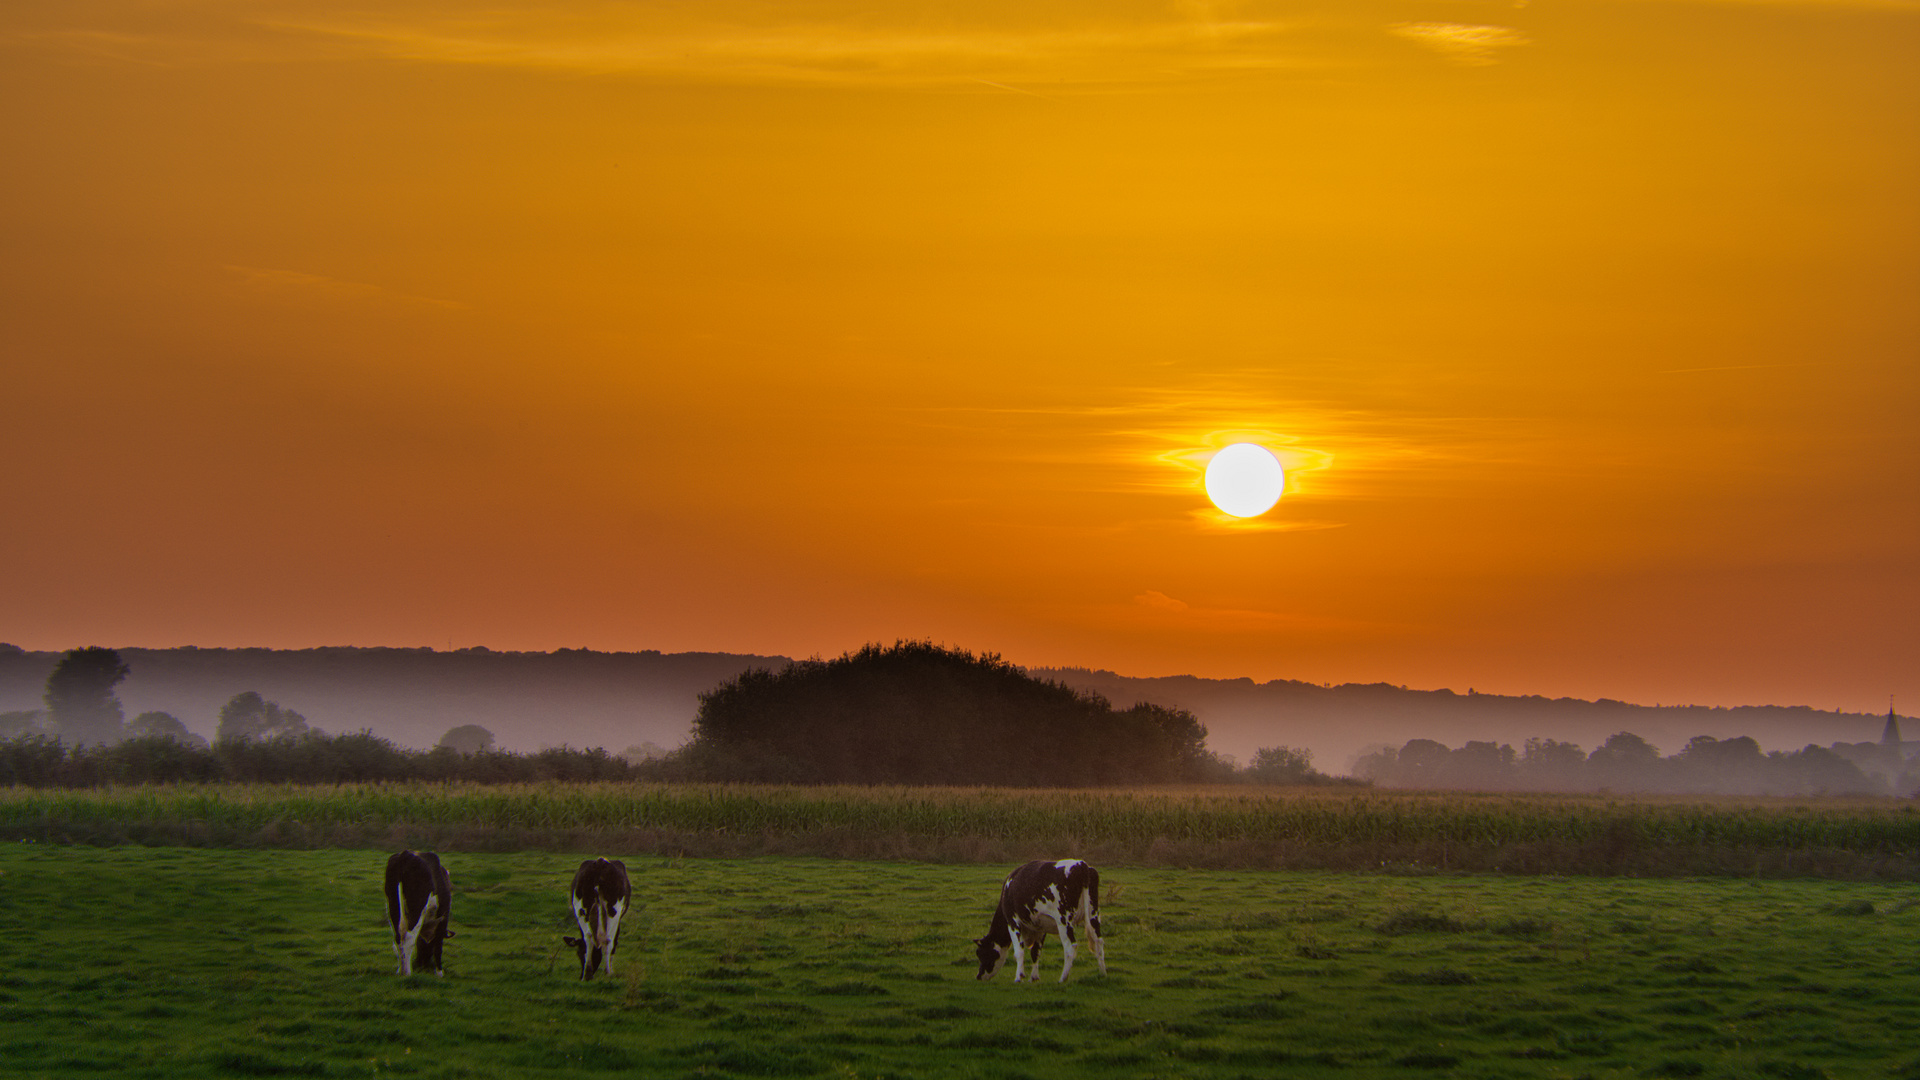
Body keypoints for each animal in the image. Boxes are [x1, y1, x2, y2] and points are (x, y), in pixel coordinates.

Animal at [975, 853, 1113, 980]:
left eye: (981, 954)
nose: (979, 976)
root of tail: (1080, 864)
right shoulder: (1040, 926)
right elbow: (1036, 951)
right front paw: (1034, 977)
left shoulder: (1012, 921)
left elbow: (1019, 951)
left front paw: (1019, 977)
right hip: (1093, 915)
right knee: (1098, 942)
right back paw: (1103, 974)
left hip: (1063, 920)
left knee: (1070, 946)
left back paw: (1063, 978)